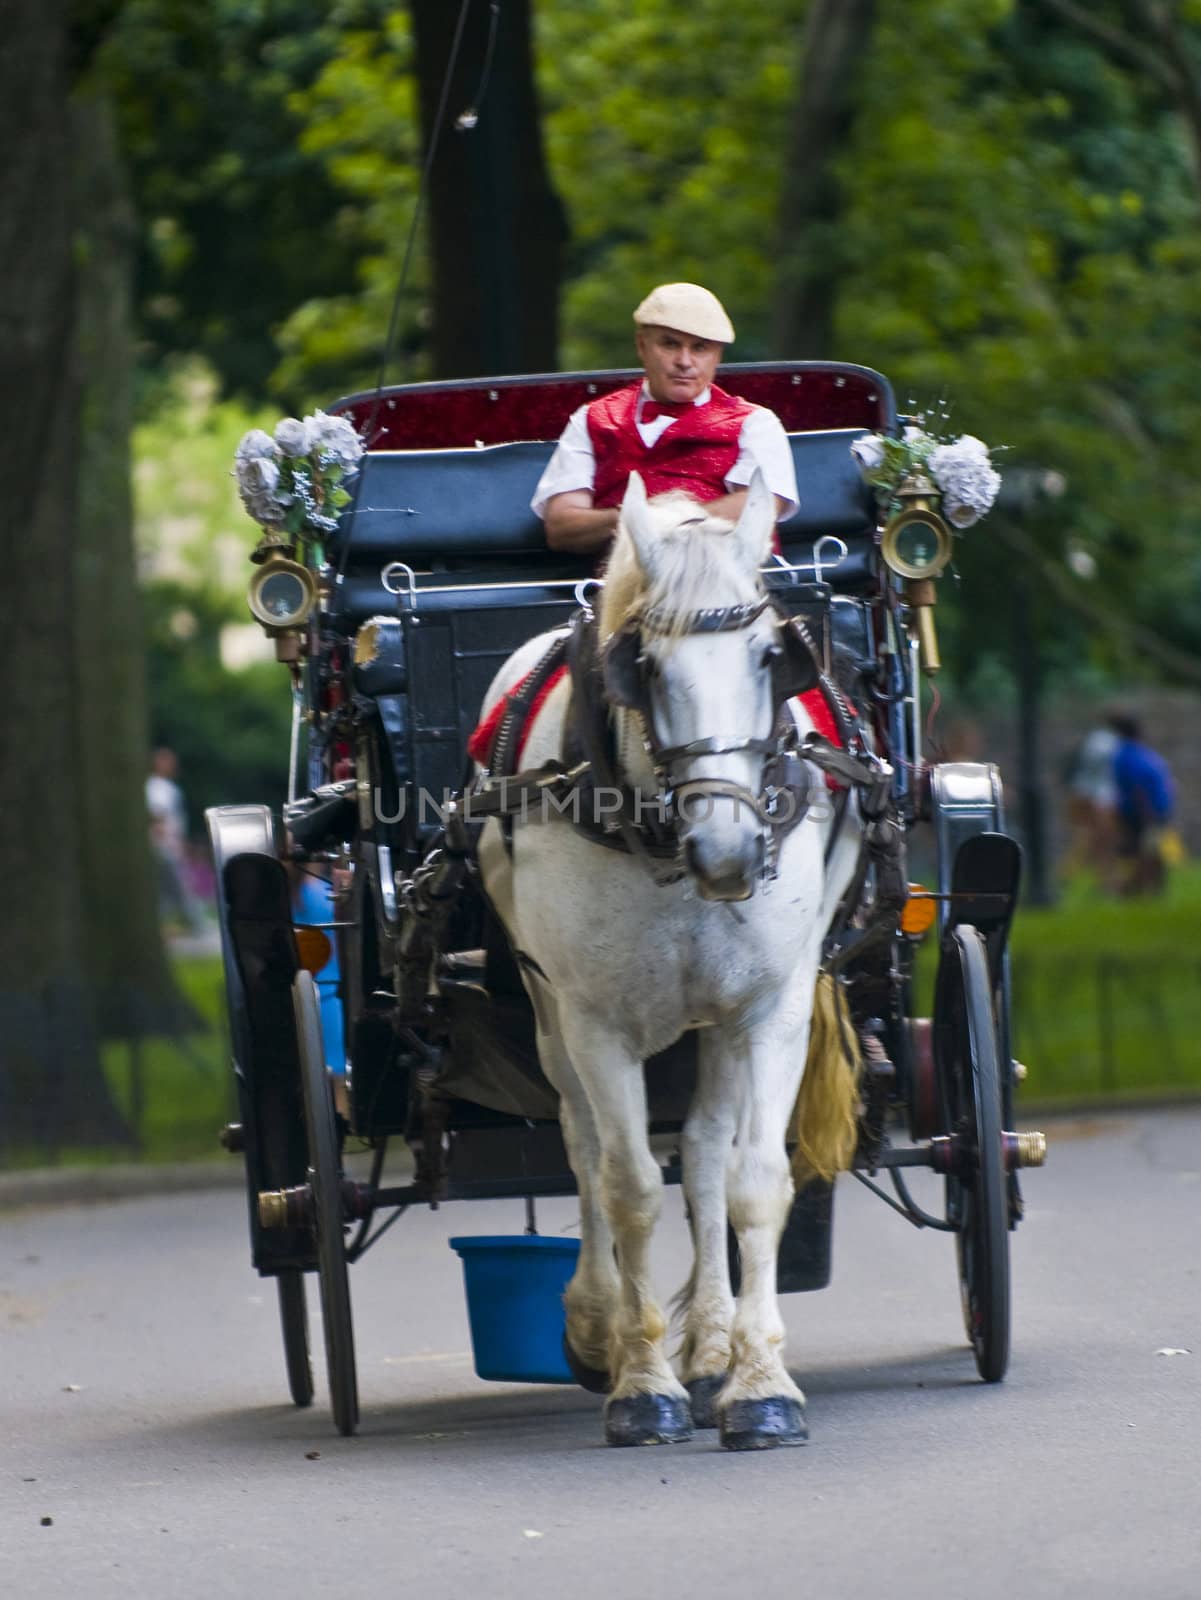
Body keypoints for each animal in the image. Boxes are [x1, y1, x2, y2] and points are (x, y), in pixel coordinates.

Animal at [473, 470, 857, 1452]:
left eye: (770, 657)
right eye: (642, 666)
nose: (727, 852)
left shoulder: (768, 1007)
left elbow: (753, 1182)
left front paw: (758, 1383)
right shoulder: (594, 1021)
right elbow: (629, 1188)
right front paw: (642, 1383)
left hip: (715, 1019)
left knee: (708, 1152)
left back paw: (715, 1345)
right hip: (549, 1018)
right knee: (582, 1145)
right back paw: (599, 1327)